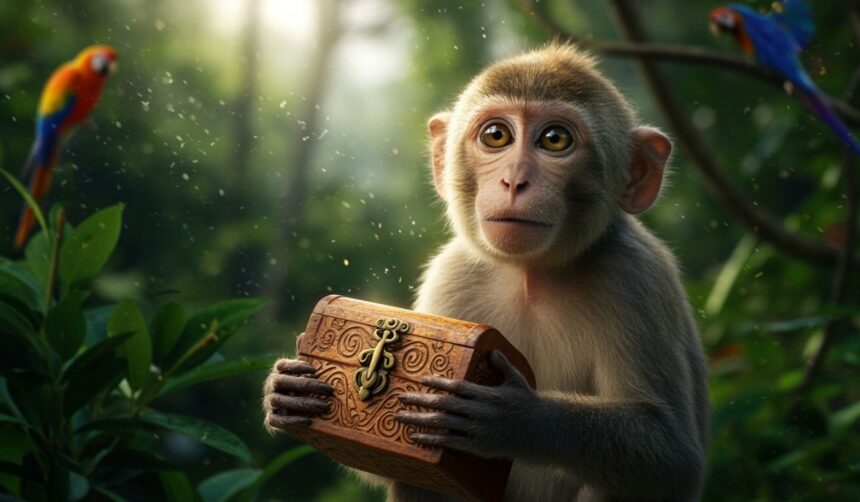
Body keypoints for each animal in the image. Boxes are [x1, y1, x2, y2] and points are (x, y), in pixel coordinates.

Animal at [264, 43, 709, 501]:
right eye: (496, 135)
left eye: (555, 139)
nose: (514, 181)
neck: (532, 277)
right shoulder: (452, 274)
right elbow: (386, 469)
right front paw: (286, 388)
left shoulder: (635, 276)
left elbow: (673, 458)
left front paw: (514, 417)